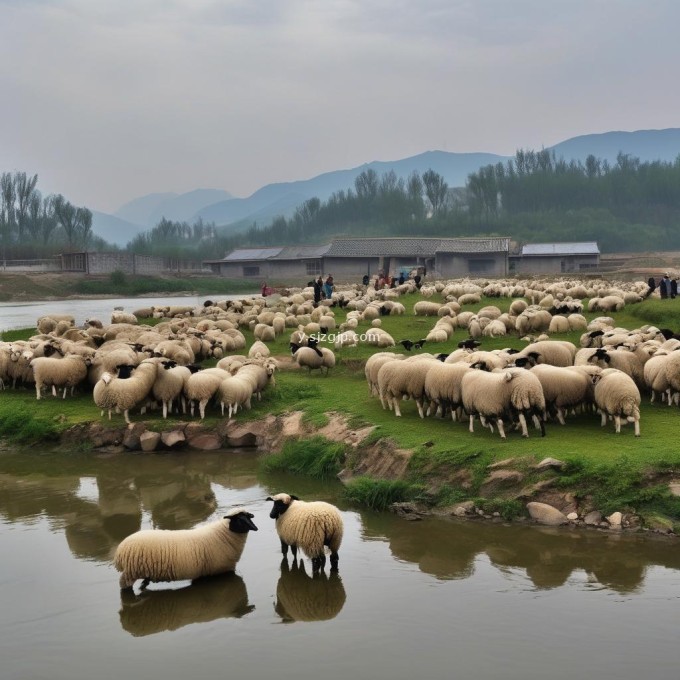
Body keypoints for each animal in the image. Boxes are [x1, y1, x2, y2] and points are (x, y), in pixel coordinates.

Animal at [114, 510, 258, 588]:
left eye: (248, 517)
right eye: (239, 519)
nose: (256, 528)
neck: (221, 534)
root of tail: (120, 549)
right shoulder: (222, 570)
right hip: (131, 572)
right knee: (124, 585)